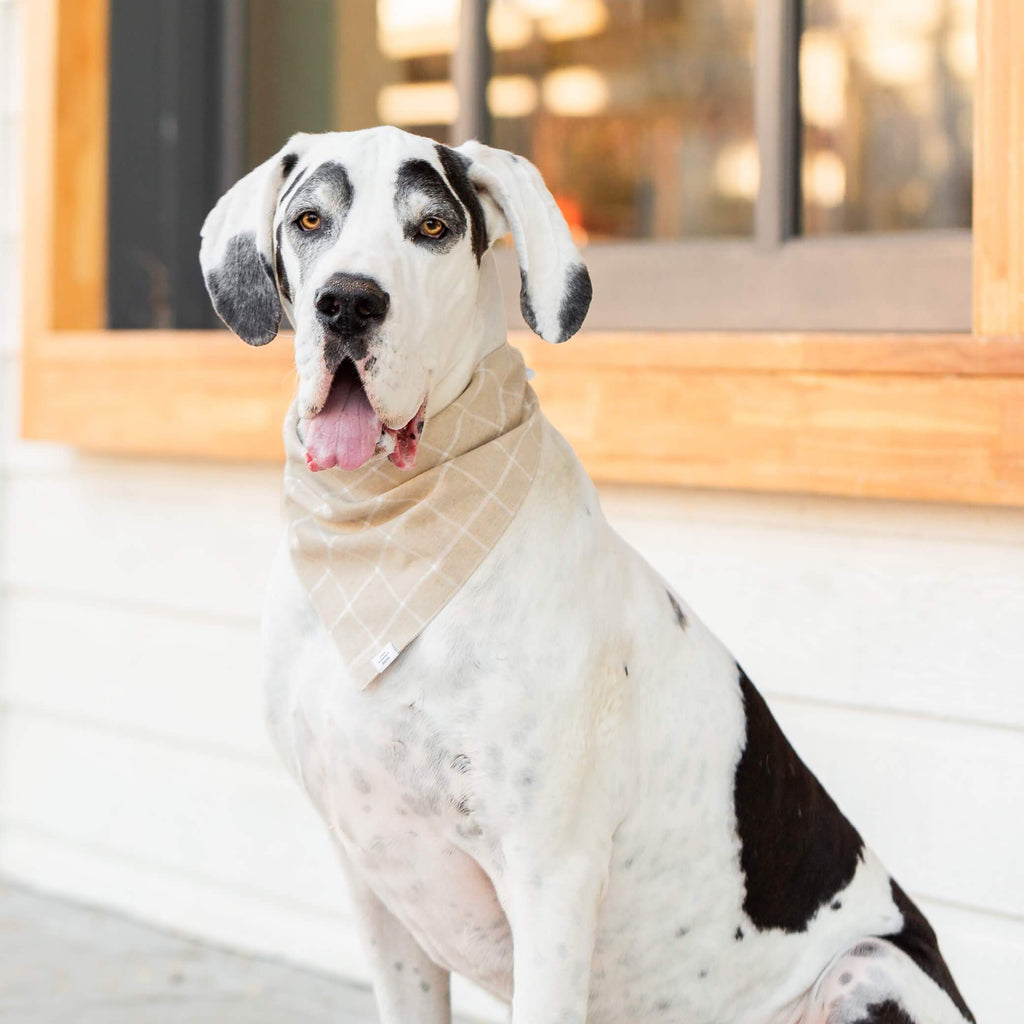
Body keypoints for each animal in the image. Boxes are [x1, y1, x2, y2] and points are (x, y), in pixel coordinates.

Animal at [199, 128, 974, 1024]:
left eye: (431, 227)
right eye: (310, 220)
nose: (349, 304)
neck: (385, 551)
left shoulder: (550, 881)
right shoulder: (374, 882)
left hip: (868, 967)